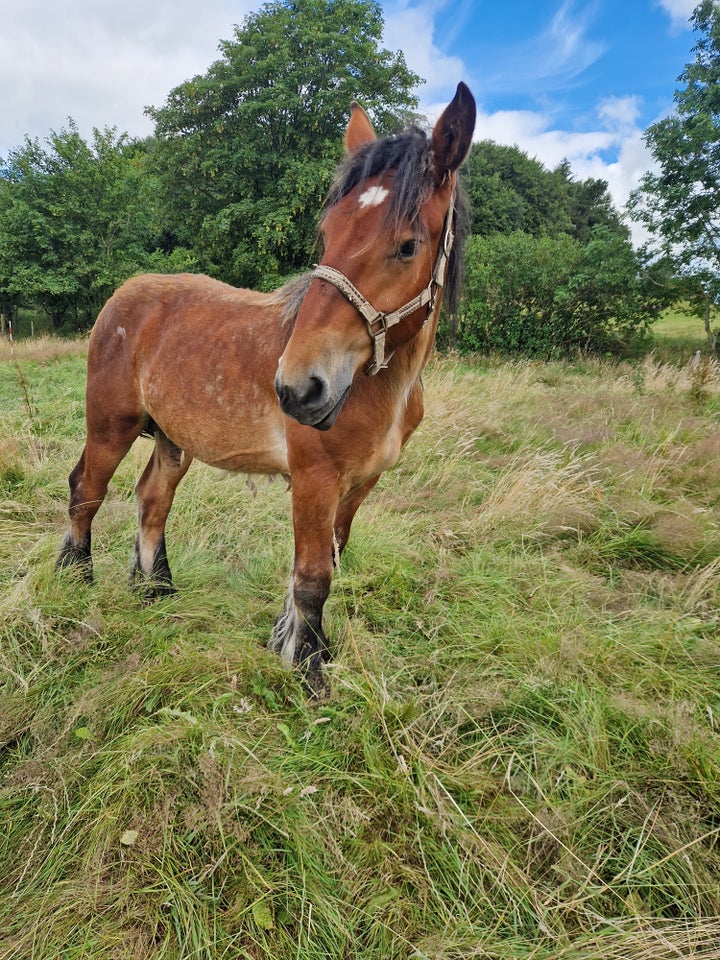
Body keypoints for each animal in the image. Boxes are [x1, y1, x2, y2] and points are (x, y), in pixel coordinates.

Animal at [57, 80, 478, 688]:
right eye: (327, 233)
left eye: (408, 246)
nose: (298, 389)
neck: (379, 384)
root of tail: (123, 293)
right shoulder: (314, 479)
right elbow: (314, 575)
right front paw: (307, 668)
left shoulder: (359, 485)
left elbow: (325, 562)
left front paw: (297, 642)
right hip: (110, 426)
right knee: (86, 490)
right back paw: (76, 578)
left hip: (172, 440)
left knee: (152, 498)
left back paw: (156, 590)